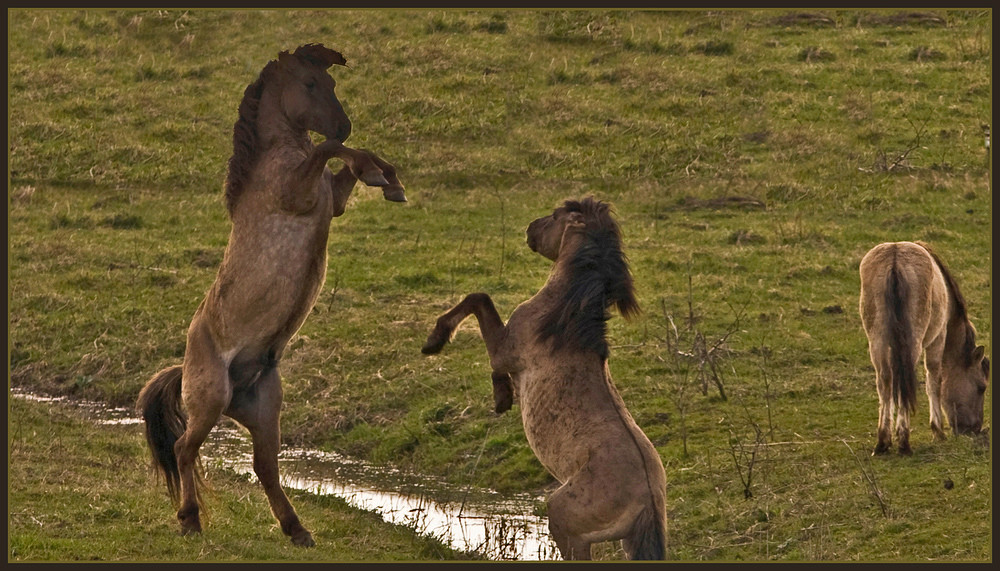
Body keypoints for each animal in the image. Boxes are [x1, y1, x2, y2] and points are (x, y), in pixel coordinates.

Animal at [135, 43, 404, 544]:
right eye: (311, 83)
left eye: (331, 82)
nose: (343, 124)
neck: (276, 156)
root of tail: (185, 367)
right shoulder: (300, 191)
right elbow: (332, 150)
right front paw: (377, 173)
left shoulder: (331, 201)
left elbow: (345, 159)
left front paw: (389, 180)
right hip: (210, 400)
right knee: (184, 448)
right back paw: (190, 519)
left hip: (264, 410)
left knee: (265, 466)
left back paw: (297, 530)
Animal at [420, 199, 664, 560]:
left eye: (554, 216)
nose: (529, 229)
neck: (561, 322)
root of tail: (647, 500)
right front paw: (503, 398)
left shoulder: (504, 350)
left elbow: (479, 300)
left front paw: (436, 343)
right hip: (631, 542)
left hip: (567, 525)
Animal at [860, 241, 992, 456]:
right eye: (982, 387)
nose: (975, 429)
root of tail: (894, 260)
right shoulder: (937, 339)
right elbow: (934, 381)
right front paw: (937, 431)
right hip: (912, 341)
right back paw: (904, 442)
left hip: (876, 341)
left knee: (885, 381)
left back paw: (882, 442)